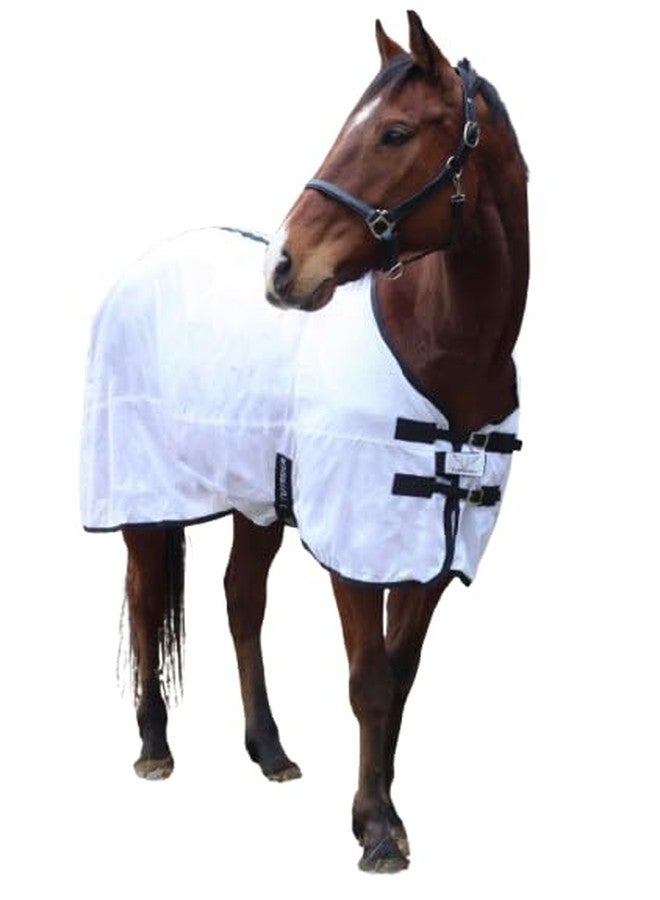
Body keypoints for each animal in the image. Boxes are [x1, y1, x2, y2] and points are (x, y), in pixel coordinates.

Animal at [81, 11, 528, 873]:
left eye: (394, 132)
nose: (283, 268)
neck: (445, 356)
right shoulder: (357, 547)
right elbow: (368, 681)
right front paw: (377, 827)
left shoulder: (429, 549)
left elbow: (401, 676)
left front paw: (379, 809)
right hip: (142, 497)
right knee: (147, 597)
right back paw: (154, 746)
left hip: (256, 501)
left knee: (240, 601)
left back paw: (269, 749)